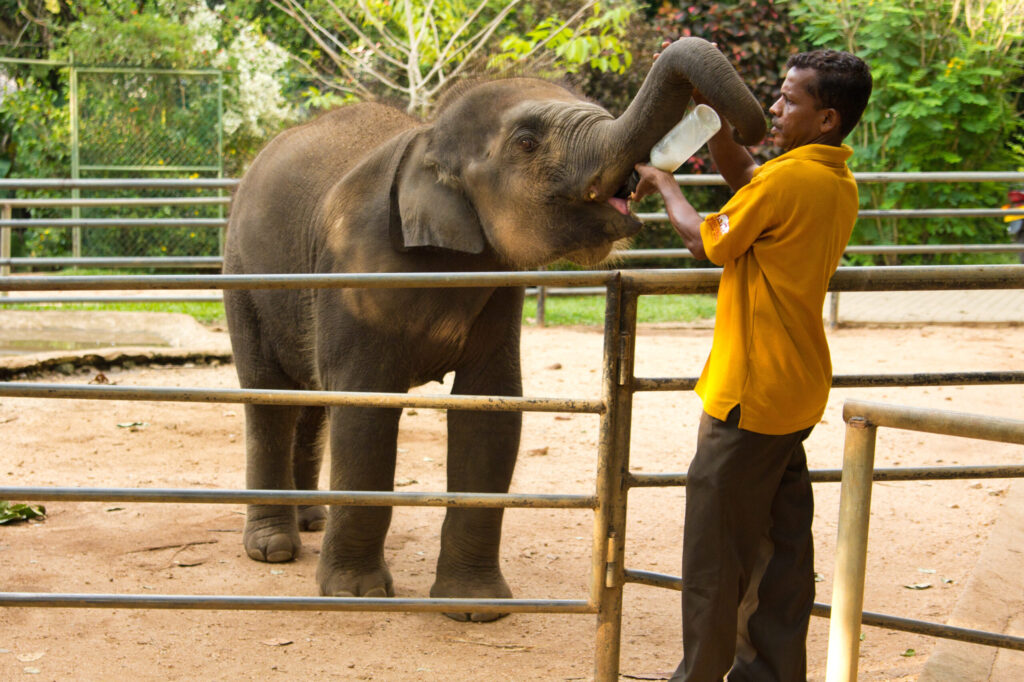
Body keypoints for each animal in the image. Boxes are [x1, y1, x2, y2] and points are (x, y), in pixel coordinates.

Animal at [222, 37, 765, 621]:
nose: (738, 131)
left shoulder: (501, 284)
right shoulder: (354, 271)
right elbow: (367, 411)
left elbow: (491, 410)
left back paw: (312, 522)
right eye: (526, 142)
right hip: (242, 276)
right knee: (268, 398)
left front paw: (475, 608)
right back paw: (274, 549)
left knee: (310, 401)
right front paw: (355, 596)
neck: (426, 141)